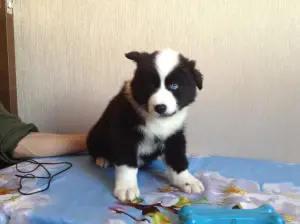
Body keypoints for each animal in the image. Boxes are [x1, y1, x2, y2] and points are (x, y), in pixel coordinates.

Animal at [86, 48, 204, 201]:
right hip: (96, 134)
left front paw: (187, 181)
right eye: (151, 85)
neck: (158, 119)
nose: (160, 107)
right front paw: (127, 188)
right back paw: (103, 159)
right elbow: (127, 163)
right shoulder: (123, 133)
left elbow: (177, 157)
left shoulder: (174, 134)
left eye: (174, 85)